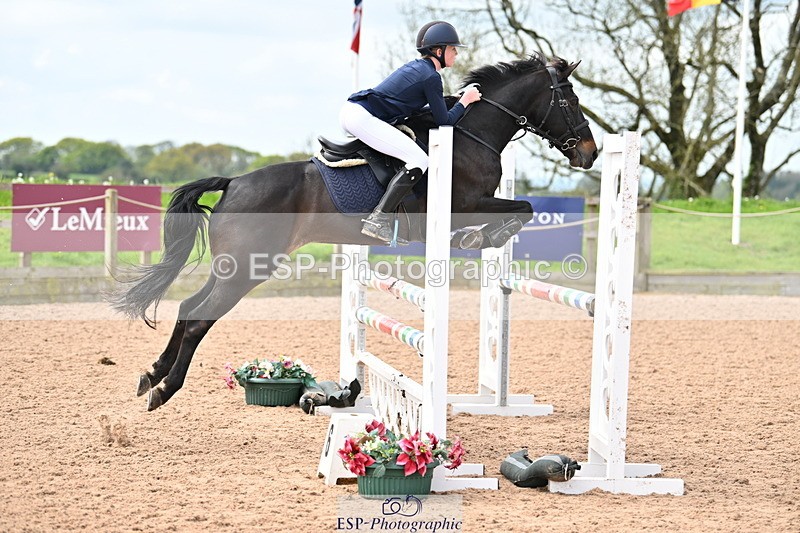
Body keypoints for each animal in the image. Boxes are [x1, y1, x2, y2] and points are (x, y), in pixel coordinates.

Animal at [110, 52, 598, 411]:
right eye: (571, 101)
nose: (591, 154)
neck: (470, 134)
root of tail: (233, 183)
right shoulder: (464, 206)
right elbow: (523, 208)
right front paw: (479, 239)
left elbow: (522, 209)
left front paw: (479, 239)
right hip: (248, 269)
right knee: (199, 318)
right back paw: (163, 389)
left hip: (233, 266)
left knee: (188, 306)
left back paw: (151, 374)